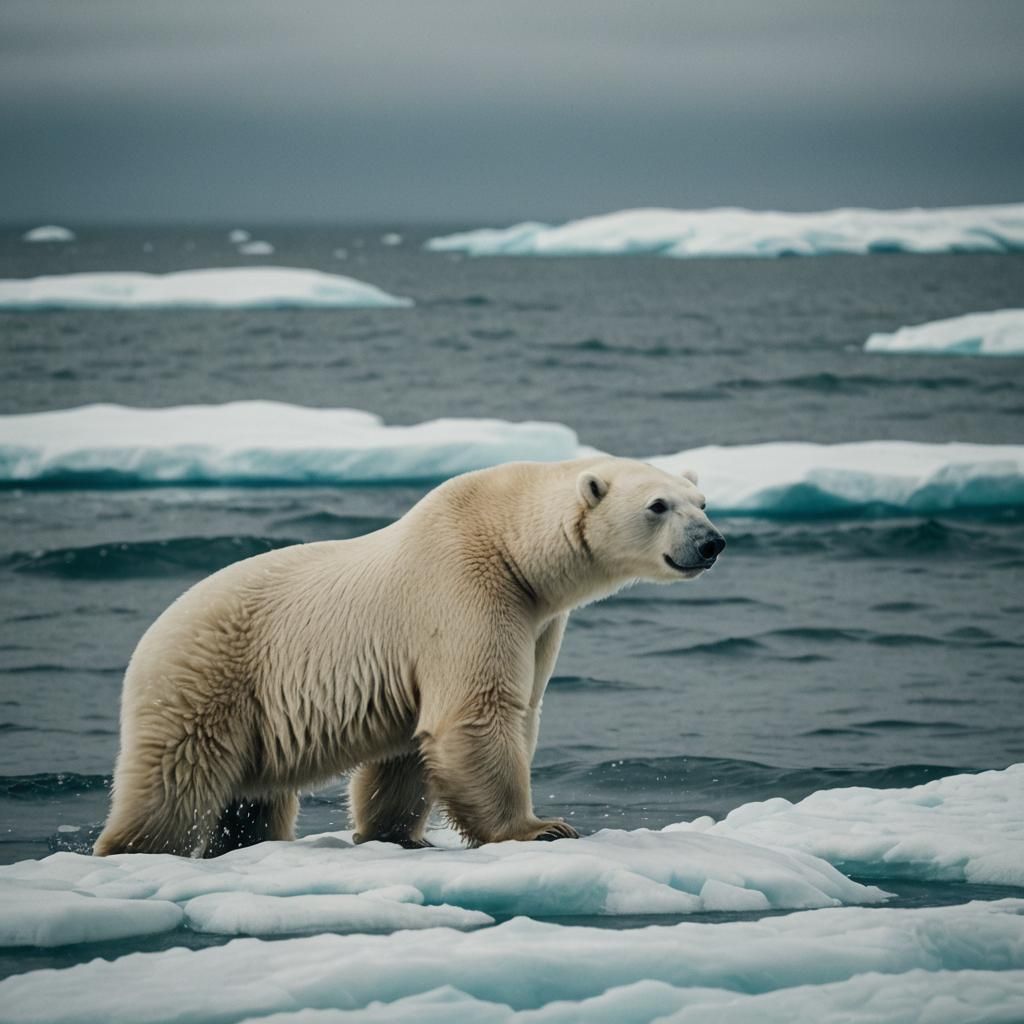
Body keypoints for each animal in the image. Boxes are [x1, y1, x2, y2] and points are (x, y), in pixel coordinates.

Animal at [94, 456, 725, 857]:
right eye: (658, 505)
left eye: (702, 501)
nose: (711, 542)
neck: (509, 542)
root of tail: (152, 635)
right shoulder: (465, 591)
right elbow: (477, 712)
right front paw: (541, 828)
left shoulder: (539, 620)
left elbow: (428, 744)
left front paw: (398, 835)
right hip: (212, 675)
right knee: (177, 779)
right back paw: (135, 847)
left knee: (250, 801)